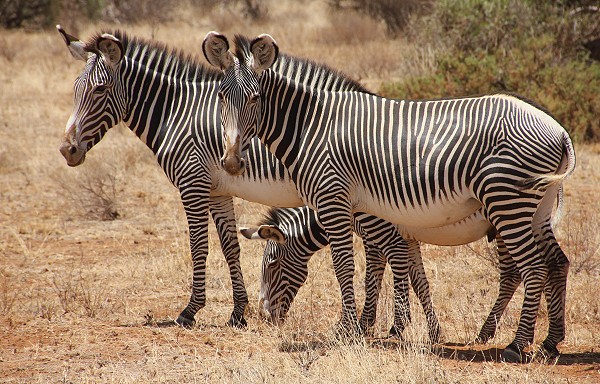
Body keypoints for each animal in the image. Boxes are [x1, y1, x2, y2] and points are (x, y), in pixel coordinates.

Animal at [55, 26, 432, 332]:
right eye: (75, 89)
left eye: (100, 90)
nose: (67, 150)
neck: (174, 112)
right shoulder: (218, 190)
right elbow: (230, 247)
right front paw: (238, 313)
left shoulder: (192, 184)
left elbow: (199, 246)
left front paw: (190, 311)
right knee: (382, 251)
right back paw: (375, 323)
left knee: (389, 248)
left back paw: (393, 326)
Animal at [241, 207, 442, 342]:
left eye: (273, 264)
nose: (264, 316)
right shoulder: (408, 233)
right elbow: (419, 280)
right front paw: (434, 330)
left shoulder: (378, 232)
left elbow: (371, 277)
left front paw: (363, 324)